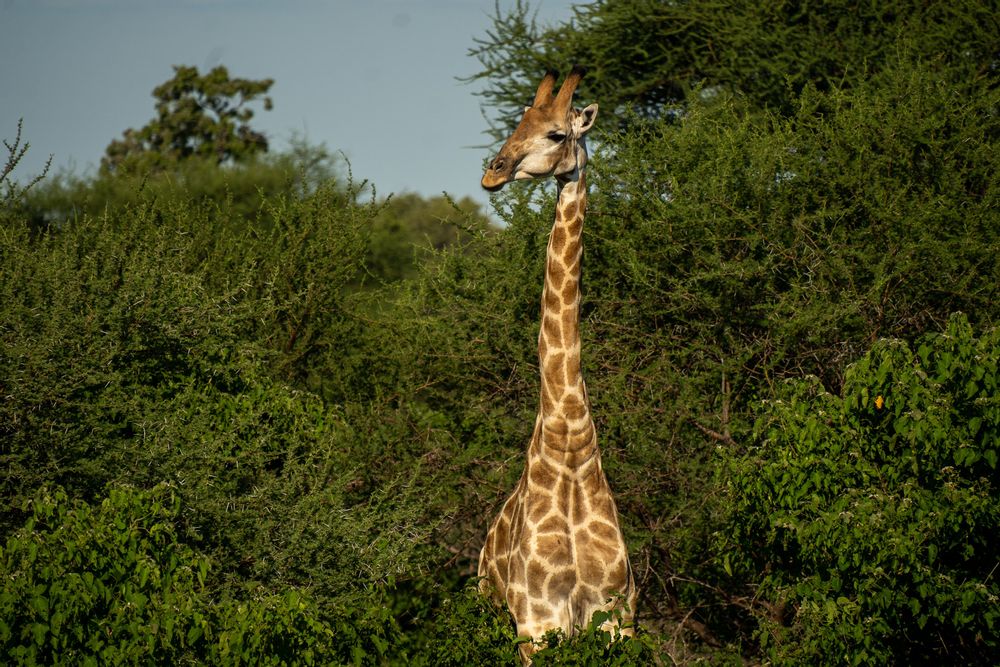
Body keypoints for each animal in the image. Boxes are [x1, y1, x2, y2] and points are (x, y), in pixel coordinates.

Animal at [478, 66, 637, 663]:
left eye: (555, 134)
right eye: (517, 121)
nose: (492, 173)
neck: (569, 445)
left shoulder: (616, 614)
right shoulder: (538, 620)